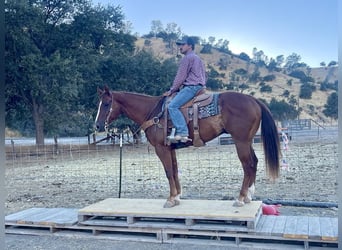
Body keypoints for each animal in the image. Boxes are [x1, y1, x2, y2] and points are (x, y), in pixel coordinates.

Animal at [94, 87, 280, 208]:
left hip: (240, 141)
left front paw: (170, 199)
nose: (97, 126)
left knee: (248, 165)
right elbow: (175, 170)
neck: (153, 112)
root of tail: (254, 100)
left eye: (106, 104)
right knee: (254, 162)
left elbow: (168, 172)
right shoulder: (170, 148)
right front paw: (177, 197)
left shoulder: (161, 148)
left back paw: (240, 198)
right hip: (247, 141)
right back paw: (249, 195)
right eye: (99, 103)